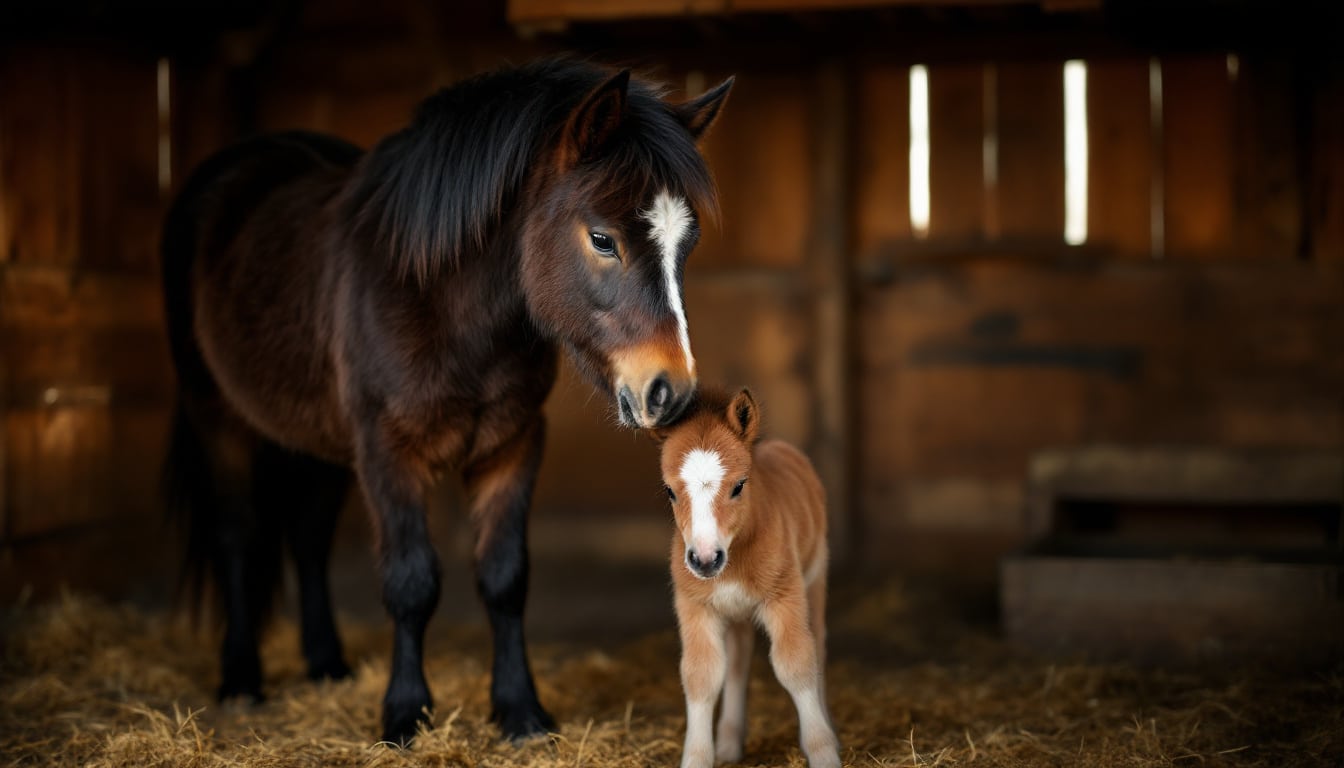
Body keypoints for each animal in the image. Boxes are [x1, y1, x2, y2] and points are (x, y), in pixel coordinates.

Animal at [162, 58, 741, 747]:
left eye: (687, 244)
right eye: (602, 239)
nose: (669, 390)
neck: (443, 304)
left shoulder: (513, 445)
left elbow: (504, 577)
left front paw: (521, 713)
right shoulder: (388, 455)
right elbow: (411, 582)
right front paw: (405, 715)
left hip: (317, 442)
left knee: (308, 539)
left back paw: (327, 666)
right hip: (215, 416)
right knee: (237, 535)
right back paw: (242, 682)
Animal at [653, 387, 833, 768]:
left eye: (738, 486)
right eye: (670, 491)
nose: (706, 559)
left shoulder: (785, 594)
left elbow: (797, 663)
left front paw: (824, 751)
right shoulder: (695, 605)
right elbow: (701, 674)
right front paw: (698, 757)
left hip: (815, 576)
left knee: (819, 645)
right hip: (735, 613)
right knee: (737, 662)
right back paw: (729, 743)